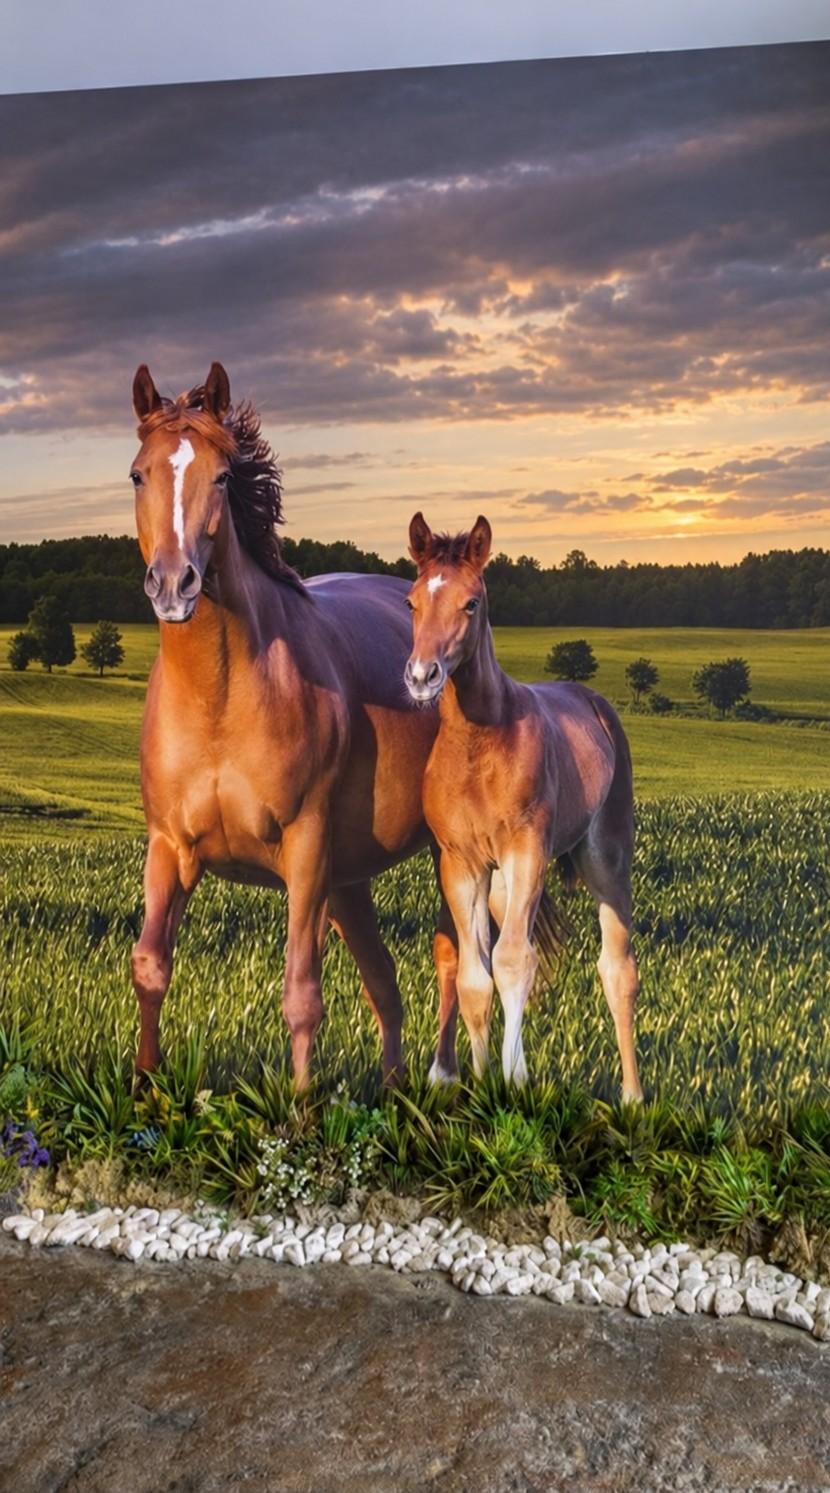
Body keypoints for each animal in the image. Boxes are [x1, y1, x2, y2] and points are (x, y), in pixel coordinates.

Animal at [128, 362, 462, 1091]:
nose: (173, 584)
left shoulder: (306, 851)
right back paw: (394, 1090)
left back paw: (443, 1080)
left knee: (457, 961)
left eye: (222, 477)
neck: (221, 699)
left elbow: (302, 994)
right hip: (349, 881)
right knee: (385, 983)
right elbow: (150, 967)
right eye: (139, 474)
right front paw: (144, 1090)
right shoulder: (169, 847)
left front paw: (302, 1108)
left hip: (441, 857)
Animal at [402, 511, 643, 1101]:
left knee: (617, 969)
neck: (478, 744)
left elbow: (513, 961)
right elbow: (475, 975)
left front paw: (515, 1081)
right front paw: (478, 1082)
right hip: (501, 885)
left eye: (471, 602)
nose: (421, 677)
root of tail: (594, 703)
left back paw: (633, 1097)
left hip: (605, 860)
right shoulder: (462, 863)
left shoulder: (525, 852)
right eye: (412, 602)